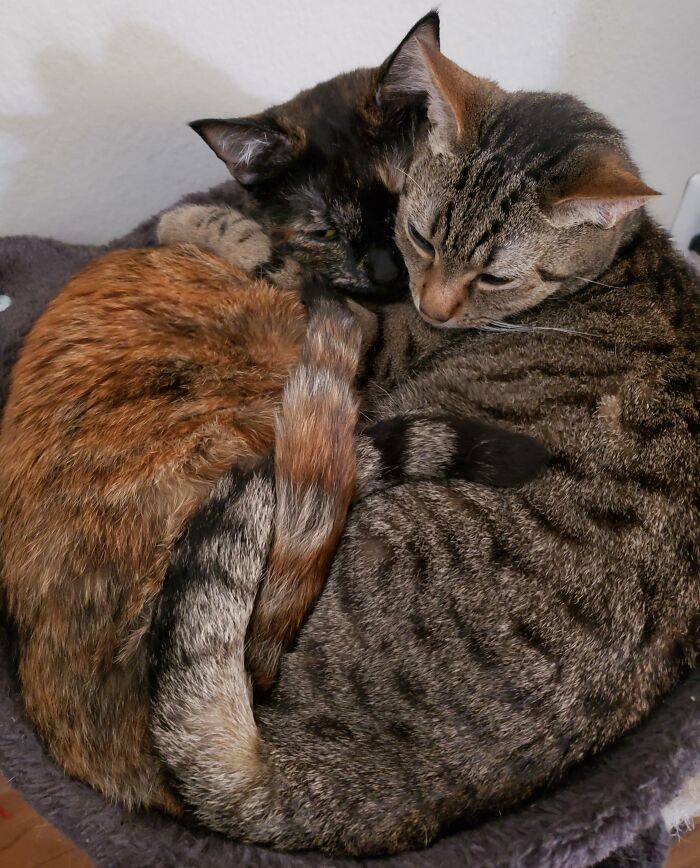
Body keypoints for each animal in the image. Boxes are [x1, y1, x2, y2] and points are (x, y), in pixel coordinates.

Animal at [149, 27, 700, 856]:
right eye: (419, 232)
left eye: (496, 275)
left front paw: (191, 221)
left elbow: (277, 262)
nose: (431, 304)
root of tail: (313, 796)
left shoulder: (366, 331)